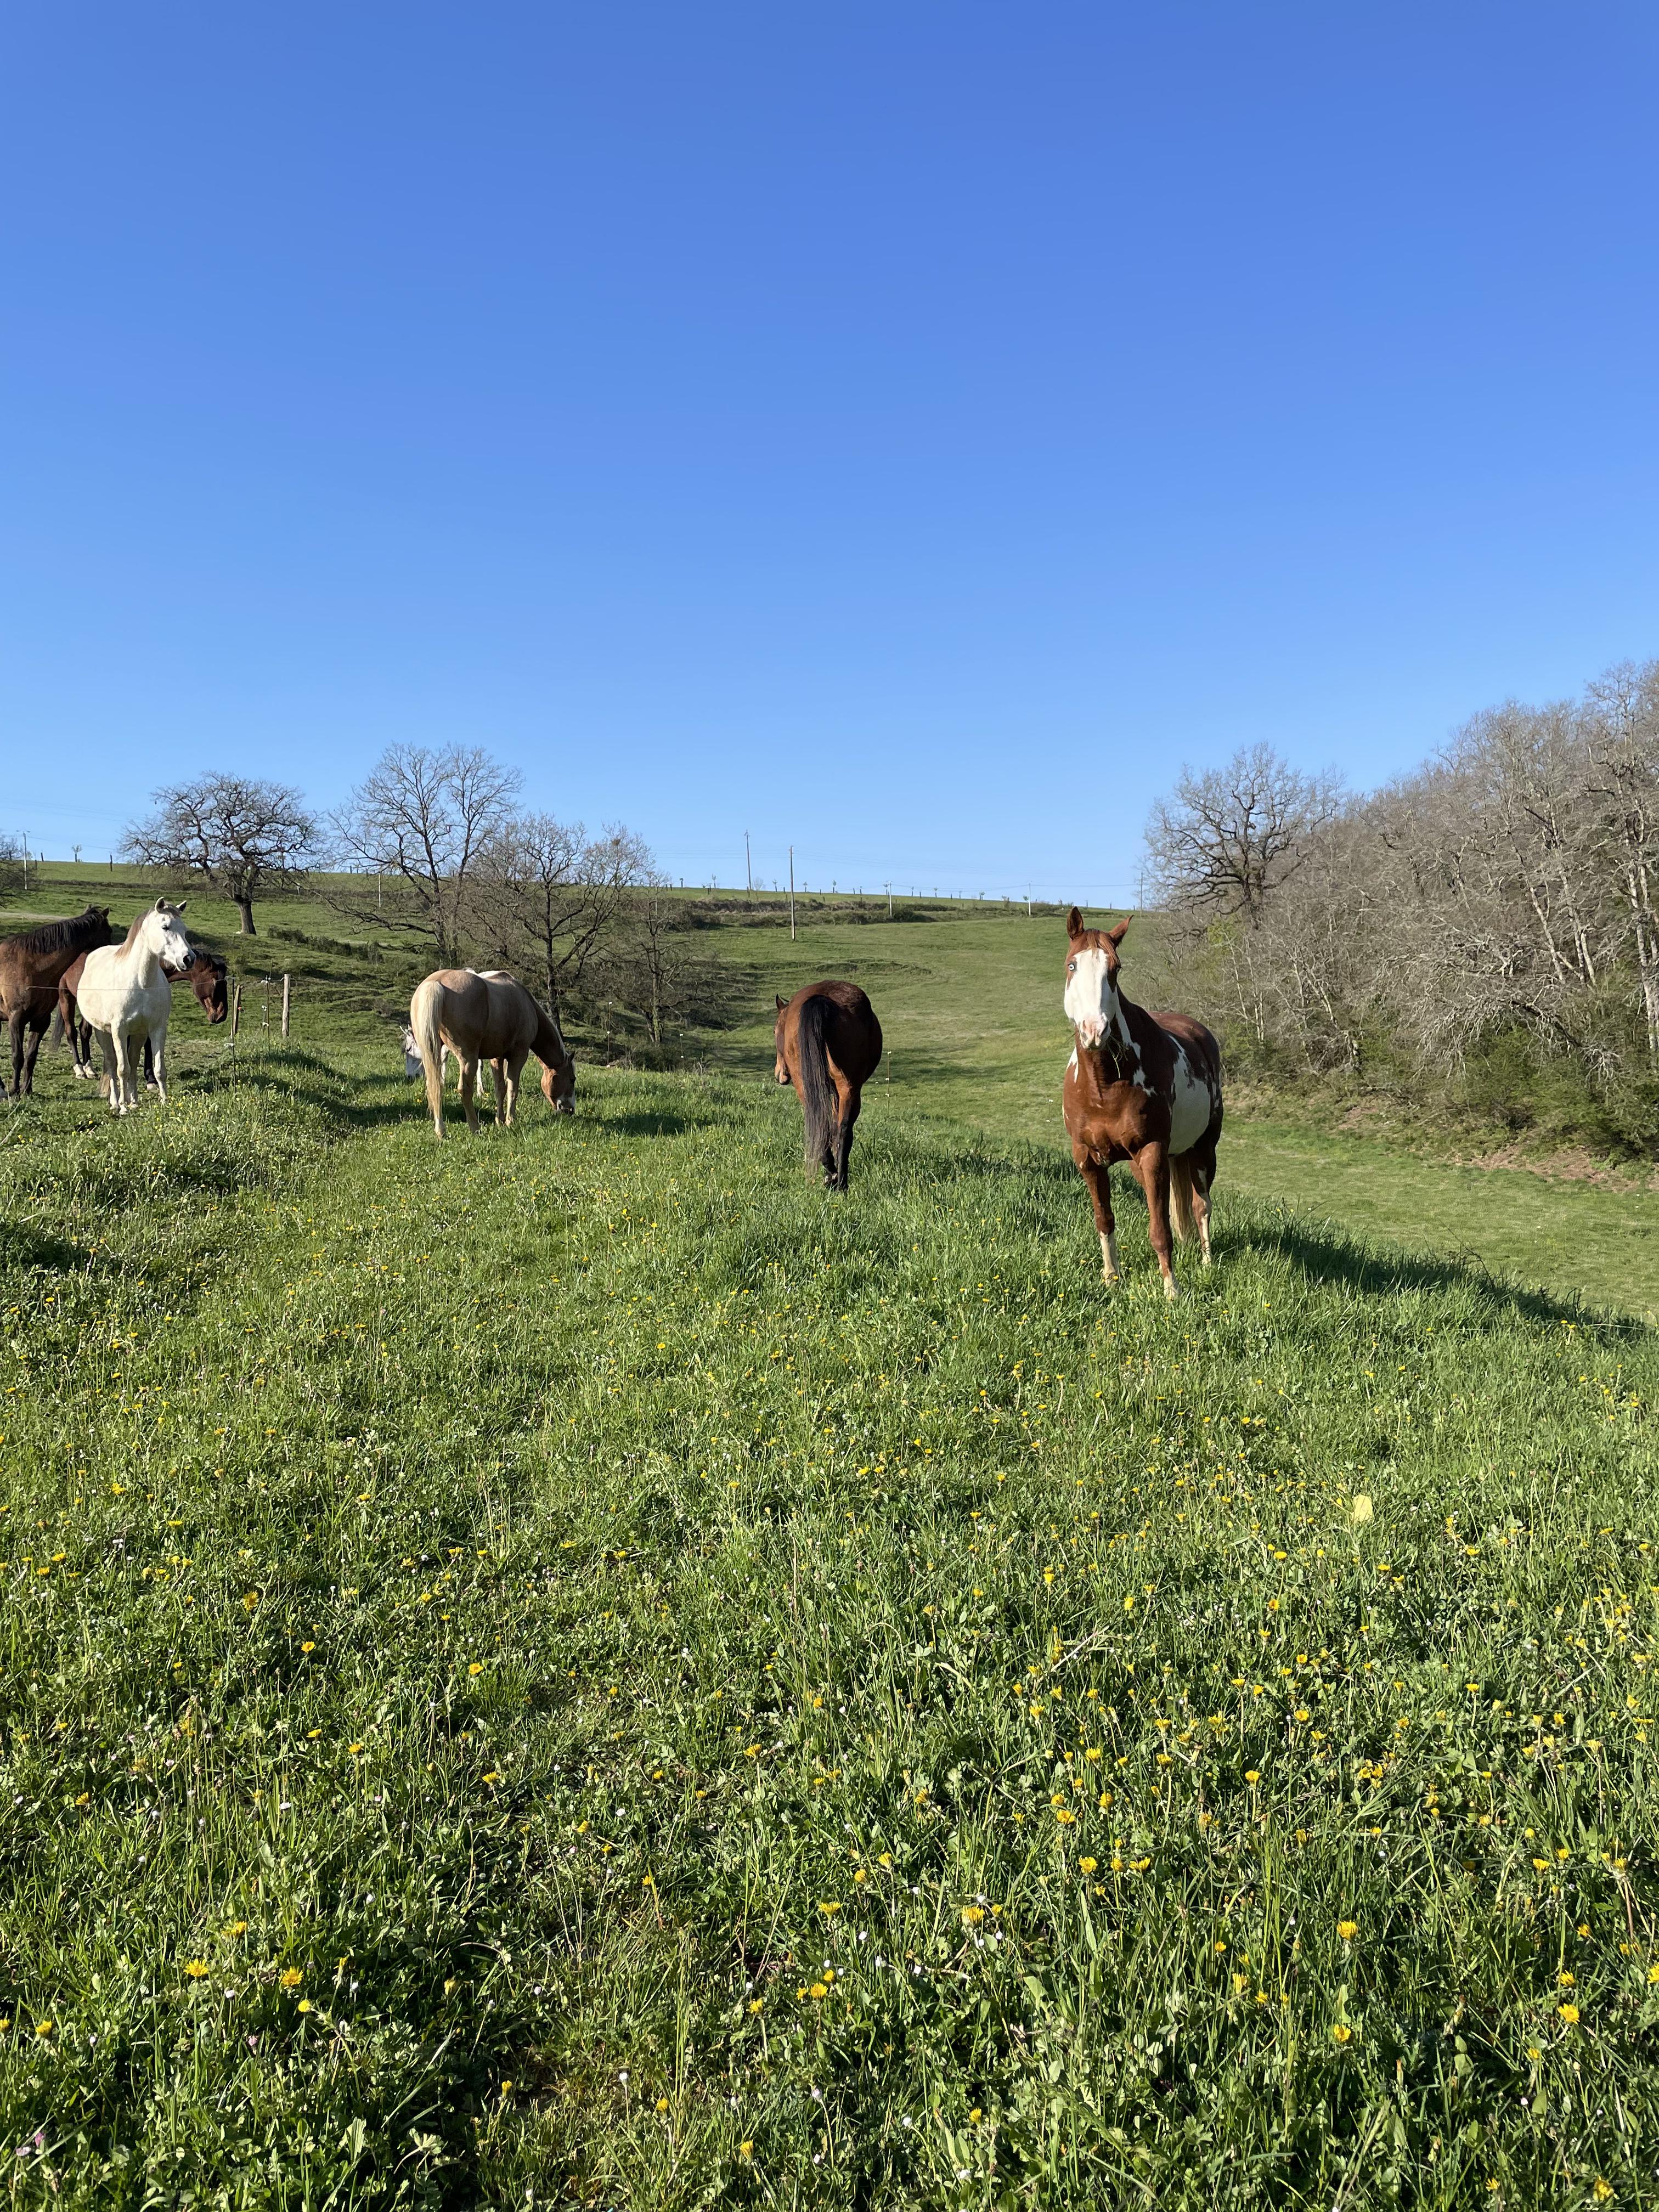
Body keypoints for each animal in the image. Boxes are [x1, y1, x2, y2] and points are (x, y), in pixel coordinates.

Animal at [0, 907, 115, 1097]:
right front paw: (15, 1090)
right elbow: (18, 1056)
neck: (31, 966)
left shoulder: (41, 1021)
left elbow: (31, 1056)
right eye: (110, 931)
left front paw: (27, 1090)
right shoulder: (16, 1020)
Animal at [76, 893, 194, 1115]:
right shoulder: (119, 1030)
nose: (188, 959)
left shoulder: (157, 1030)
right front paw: (123, 1107)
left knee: (132, 1059)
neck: (141, 983)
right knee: (112, 1063)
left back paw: (135, 1101)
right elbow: (122, 1069)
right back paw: (116, 1102)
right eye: (165, 927)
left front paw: (164, 1101)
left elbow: (158, 1069)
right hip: (103, 1032)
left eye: (184, 930)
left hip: (138, 1034)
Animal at [409, 969, 579, 1141]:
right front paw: (511, 1121)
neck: (526, 1002)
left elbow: (500, 1089)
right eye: (572, 1079)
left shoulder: (497, 1058)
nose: (570, 1110)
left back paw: (441, 1131)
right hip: (468, 1059)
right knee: (465, 1090)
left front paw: (500, 1120)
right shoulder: (518, 1056)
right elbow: (512, 1088)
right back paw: (475, 1128)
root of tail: (436, 983)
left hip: (432, 1054)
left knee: (435, 1087)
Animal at [778, 982, 884, 1194]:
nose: (780, 1074)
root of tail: (822, 1000)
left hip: (810, 1087)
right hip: (847, 1087)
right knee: (842, 1130)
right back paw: (841, 1182)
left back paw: (833, 1176)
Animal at [1066, 907, 1221, 1300]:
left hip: (1203, 1150)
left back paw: (1207, 1264)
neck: (1104, 1088)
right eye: (1072, 965)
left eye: (1115, 969)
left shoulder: (1152, 1154)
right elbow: (1104, 1220)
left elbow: (1161, 1230)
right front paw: (1111, 1278)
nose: (1094, 1031)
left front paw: (1172, 1291)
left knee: (1201, 1206)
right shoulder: (1087, 1159)